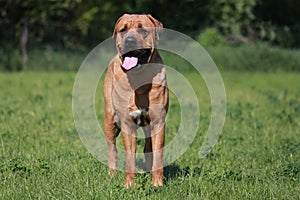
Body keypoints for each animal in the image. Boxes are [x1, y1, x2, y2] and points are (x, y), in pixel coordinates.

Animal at [103, 14, 169, 188]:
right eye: (123, 30)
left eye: (143, 30)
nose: (130, 41)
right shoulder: (127, 124)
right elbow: (130, 158)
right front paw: (129, 185)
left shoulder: (158, 122)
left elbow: (157, 154)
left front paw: (157, 183)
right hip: (109, 119)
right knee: (112, 150)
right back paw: (111, 175)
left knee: (148, 148)